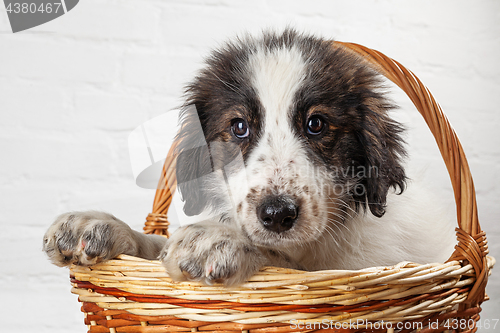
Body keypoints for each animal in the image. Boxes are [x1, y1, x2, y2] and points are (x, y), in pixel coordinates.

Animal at [43, 29, 458, 286]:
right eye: (239, 126)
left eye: (316, 124)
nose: (277, 214)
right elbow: (155, 244)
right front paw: (99, 225)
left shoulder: (361, 269)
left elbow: (284, 260)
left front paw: (216, 239)